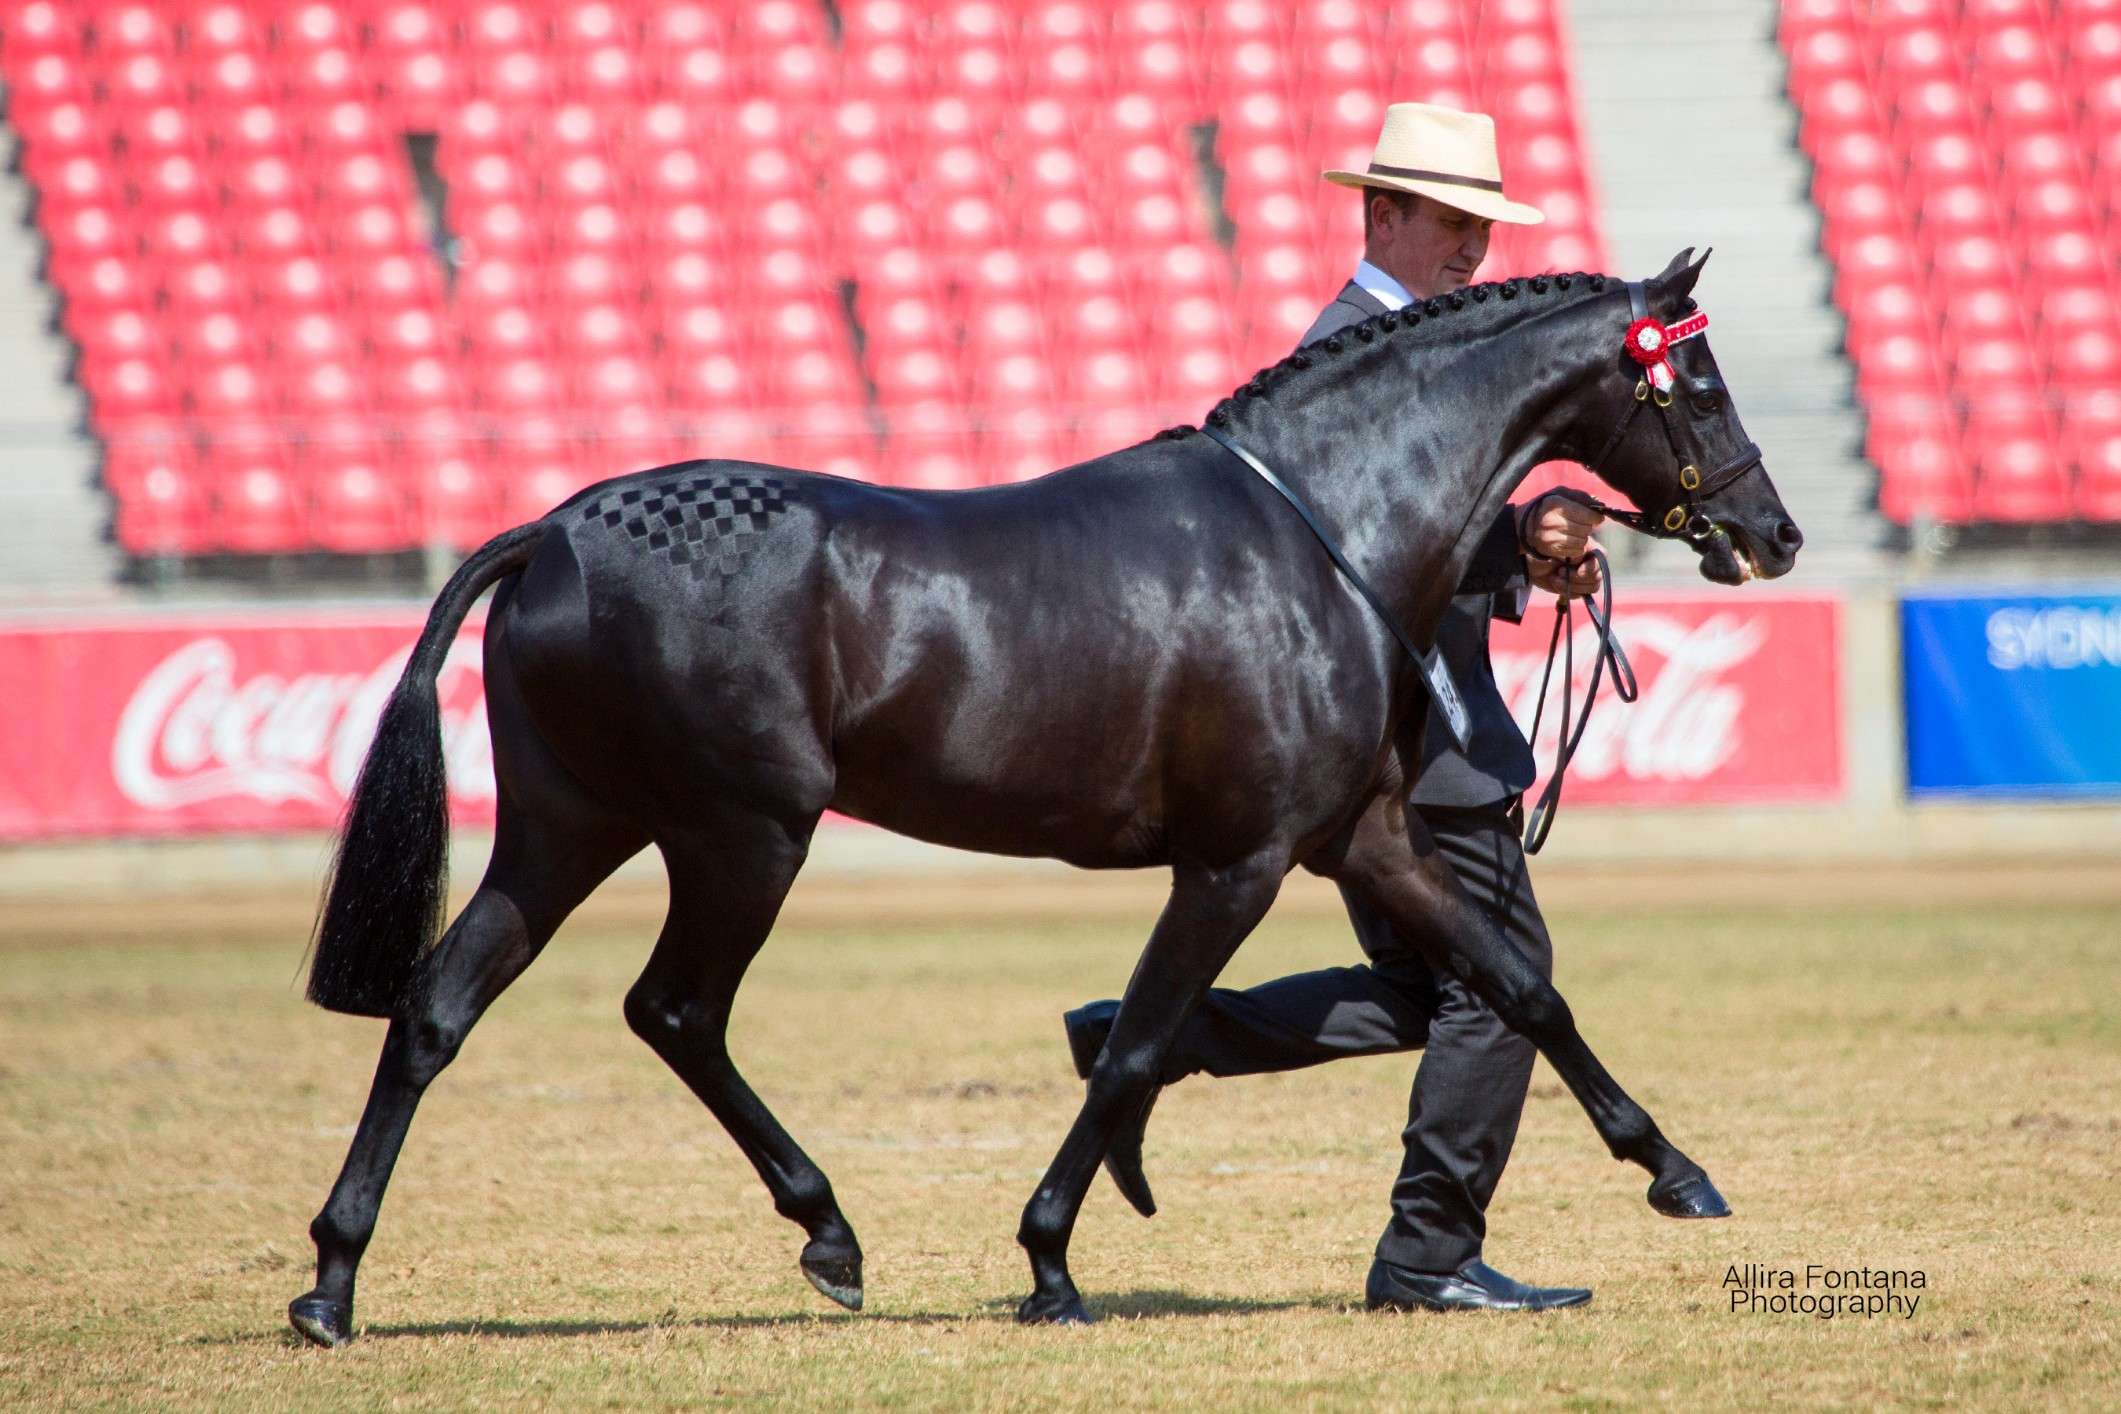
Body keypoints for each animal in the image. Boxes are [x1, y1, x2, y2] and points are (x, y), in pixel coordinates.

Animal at [290, 249, 1798, 1348]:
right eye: (1696, 378)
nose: (1772, 533)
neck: (1320, 535)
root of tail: (553, 532)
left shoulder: (1362, 841)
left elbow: (1522, 983)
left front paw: (1675, 1171)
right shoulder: (1237, 862)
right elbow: (1136, 1038)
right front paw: (1052, 1259)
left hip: (572, 826)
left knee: (439, 1006)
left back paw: (333, 1280)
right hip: (740, 833)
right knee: (674, 1008)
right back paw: (828, 1234)